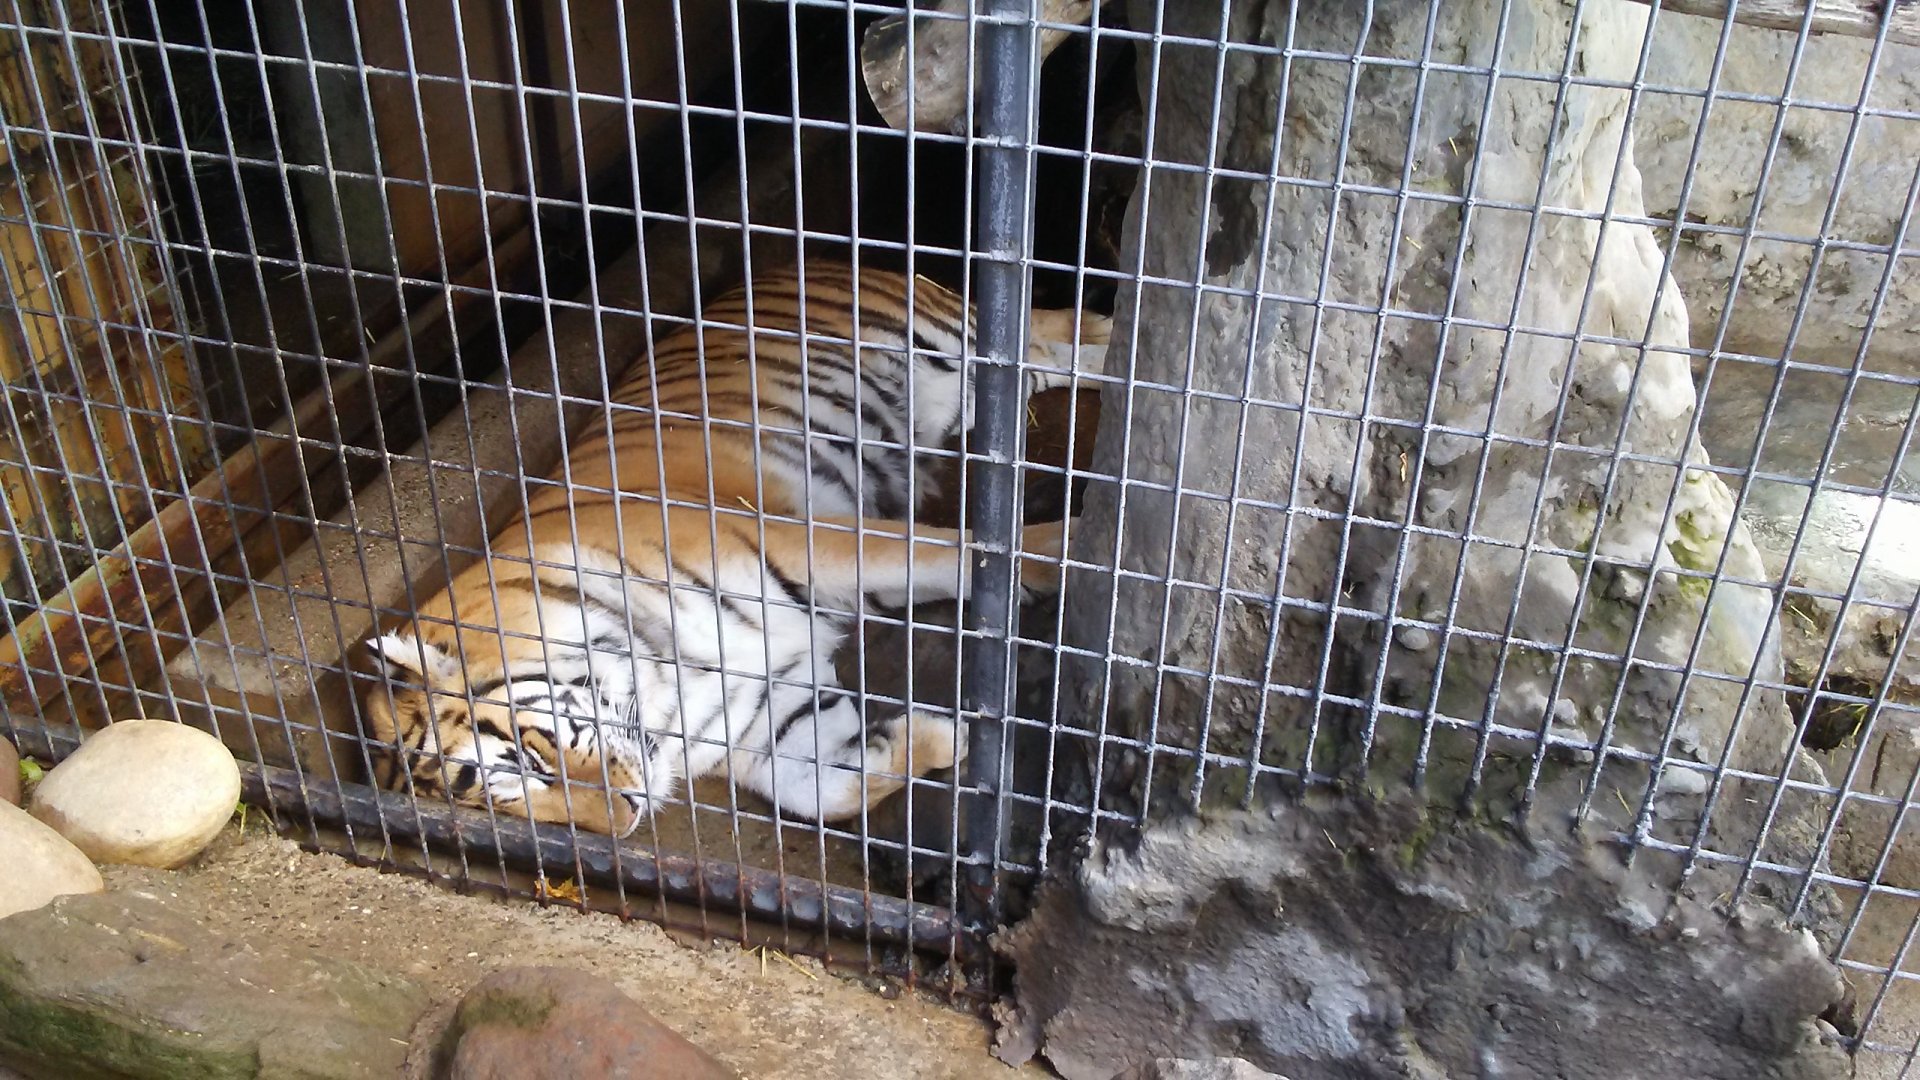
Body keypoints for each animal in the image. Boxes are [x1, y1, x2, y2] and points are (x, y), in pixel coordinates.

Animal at [358, 260, 1109, 837]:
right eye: (514, 807)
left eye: (529, 763)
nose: (624, 819)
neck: (665, 686)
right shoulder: (771, 715)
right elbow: (826, 790)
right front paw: (936, 737)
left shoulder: (808, 540)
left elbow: (953, 552)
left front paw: (1070, 549)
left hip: (949, 343)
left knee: (1067, 329)